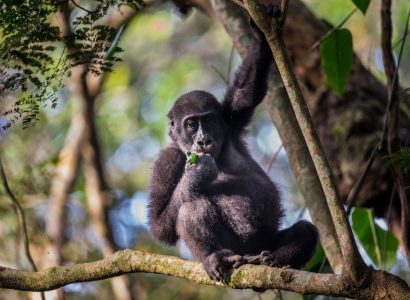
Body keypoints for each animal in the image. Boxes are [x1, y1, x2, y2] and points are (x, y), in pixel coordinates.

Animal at [149, 19, 318, 280]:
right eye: (191, 124)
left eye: (208, 121)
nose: (202, 140)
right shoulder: (166, 162)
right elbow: (160, 225)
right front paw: (196, 174)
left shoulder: (231, 119)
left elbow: (246, 91)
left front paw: (260, 33)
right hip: (237, 249)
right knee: (191, 209)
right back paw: (216, 256)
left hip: (266, 242)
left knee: (305, 230)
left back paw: (275, 259)